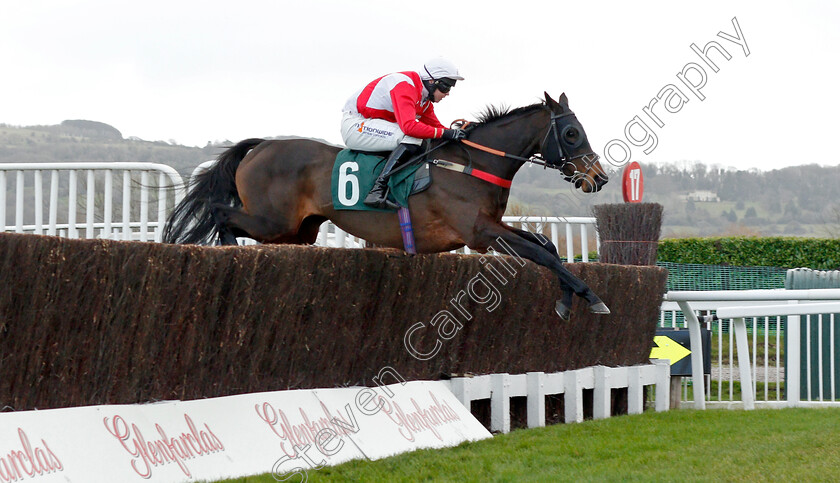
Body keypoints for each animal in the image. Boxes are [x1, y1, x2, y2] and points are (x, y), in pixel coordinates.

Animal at [162, 91, 612, 320]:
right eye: (572, 133)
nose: (599, 178)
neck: (473, 164)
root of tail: (262, 146)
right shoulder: (479, 232)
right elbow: (544, 254)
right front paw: (591, 297)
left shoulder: (490, 229)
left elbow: (547, 247)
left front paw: (568, 299)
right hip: (272, 220)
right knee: (221, 214)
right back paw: (227, 258)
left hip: (298, 231)